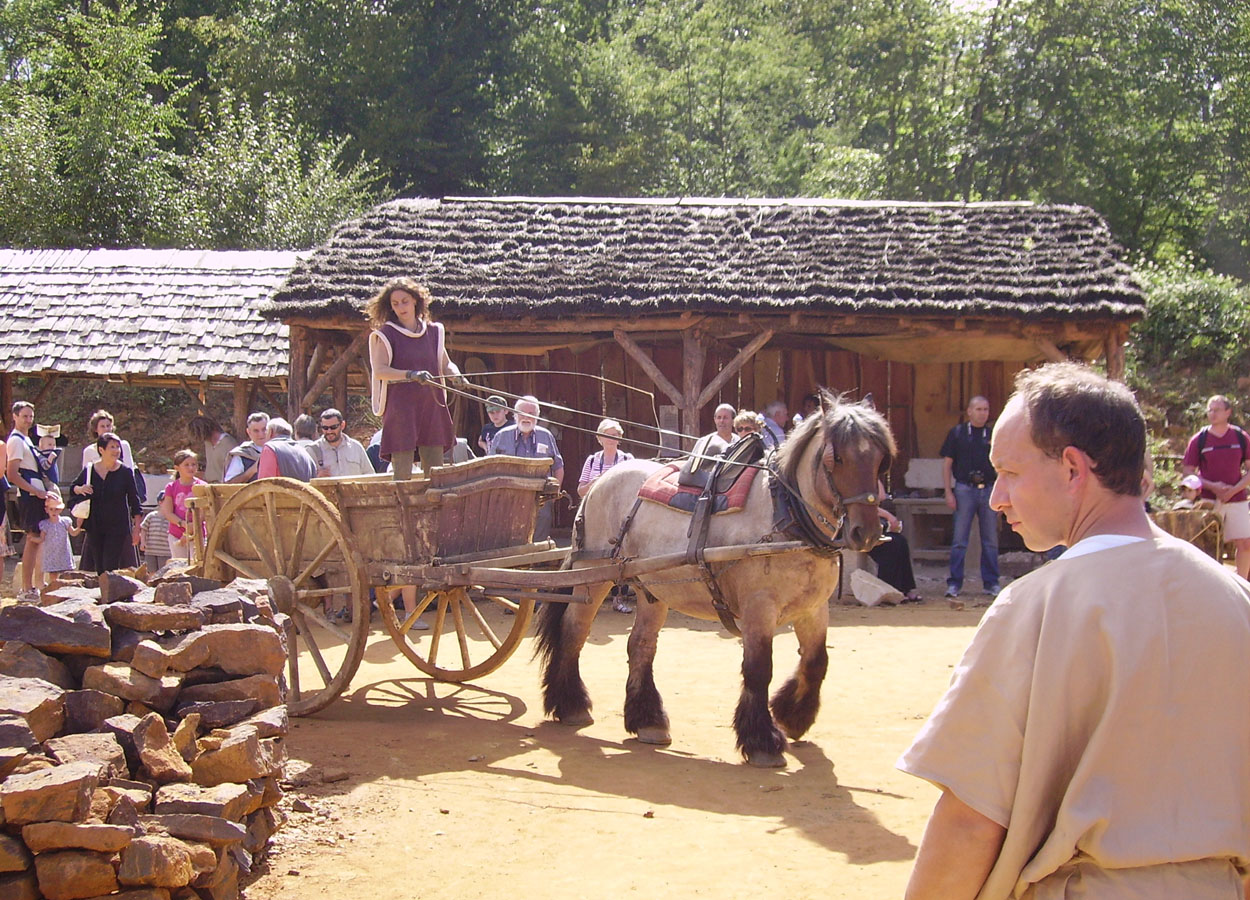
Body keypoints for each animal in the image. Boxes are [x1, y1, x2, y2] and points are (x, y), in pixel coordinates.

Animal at [535, 390, 896, 767]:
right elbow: (758, 668)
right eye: (836, 457)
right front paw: (762, 740)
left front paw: (793, 715)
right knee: (574, 631)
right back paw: (571, 705)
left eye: (881, 459)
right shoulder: (758, 608)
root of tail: (598, 484)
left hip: (653, 589)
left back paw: (648, 720)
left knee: (640, 645)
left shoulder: (814, 607)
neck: (785, 515)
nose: (867, 532)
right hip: (593, 578)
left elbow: (816, 661)